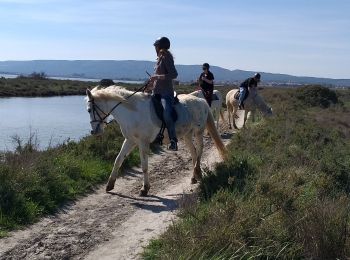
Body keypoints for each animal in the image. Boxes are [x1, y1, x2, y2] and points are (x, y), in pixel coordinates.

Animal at [85, 86, 227, 196]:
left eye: (89, 110)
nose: (94, 132)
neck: (132, 113)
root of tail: (202, 101)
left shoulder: (143, 142)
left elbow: (144, 166)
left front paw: (144, 189)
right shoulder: (130, 140)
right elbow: (118, 160)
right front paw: (110, 185)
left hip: (198, 132)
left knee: (200, 150)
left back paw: (198, 173)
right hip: (187, 135)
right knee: (193, 152)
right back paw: (194, 176)